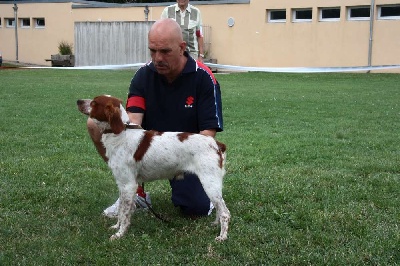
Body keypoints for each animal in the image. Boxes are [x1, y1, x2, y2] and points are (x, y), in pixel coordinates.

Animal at [77, 95, 231, 241]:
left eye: (94, 103)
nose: (78, 101)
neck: (120, 133)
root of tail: (216, 144)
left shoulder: (128, 184)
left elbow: (125, 213)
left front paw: (120, 234)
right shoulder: (122, 184)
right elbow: (121, 210)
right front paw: (116, 226)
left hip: (209, 182)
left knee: (225, 212)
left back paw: (222, 236)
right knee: (219, 208)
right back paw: (215, 225)